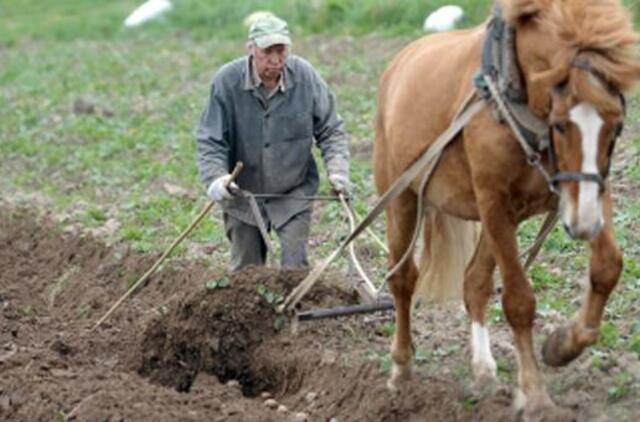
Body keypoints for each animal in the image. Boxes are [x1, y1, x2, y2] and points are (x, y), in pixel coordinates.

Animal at [372, 0, 640, 418]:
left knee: (474, 282)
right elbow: (518, 301)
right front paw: (535, 396)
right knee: (402, 280)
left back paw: (484, 370)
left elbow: (607, 267)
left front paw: (562, 345)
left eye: (616, 125)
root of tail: (400, 62)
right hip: (402, 198)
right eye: (560, 125)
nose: (582, 226)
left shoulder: (588, 190)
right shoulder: (494, 200)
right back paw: (401, 368)